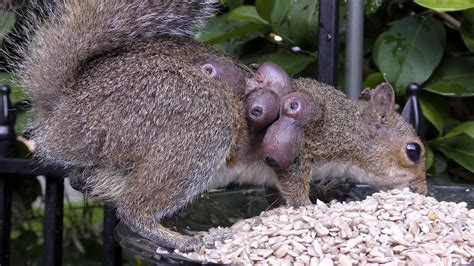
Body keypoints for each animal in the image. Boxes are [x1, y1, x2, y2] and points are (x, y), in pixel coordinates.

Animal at [15, 0, 426, 251]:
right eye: (414, 151)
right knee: (133, 208)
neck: (349, 127)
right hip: (198, 125)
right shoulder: (305, 143)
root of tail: (67, 108)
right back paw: (180, 240)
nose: (422, 190)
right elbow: (294, 185)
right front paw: (310, 209)